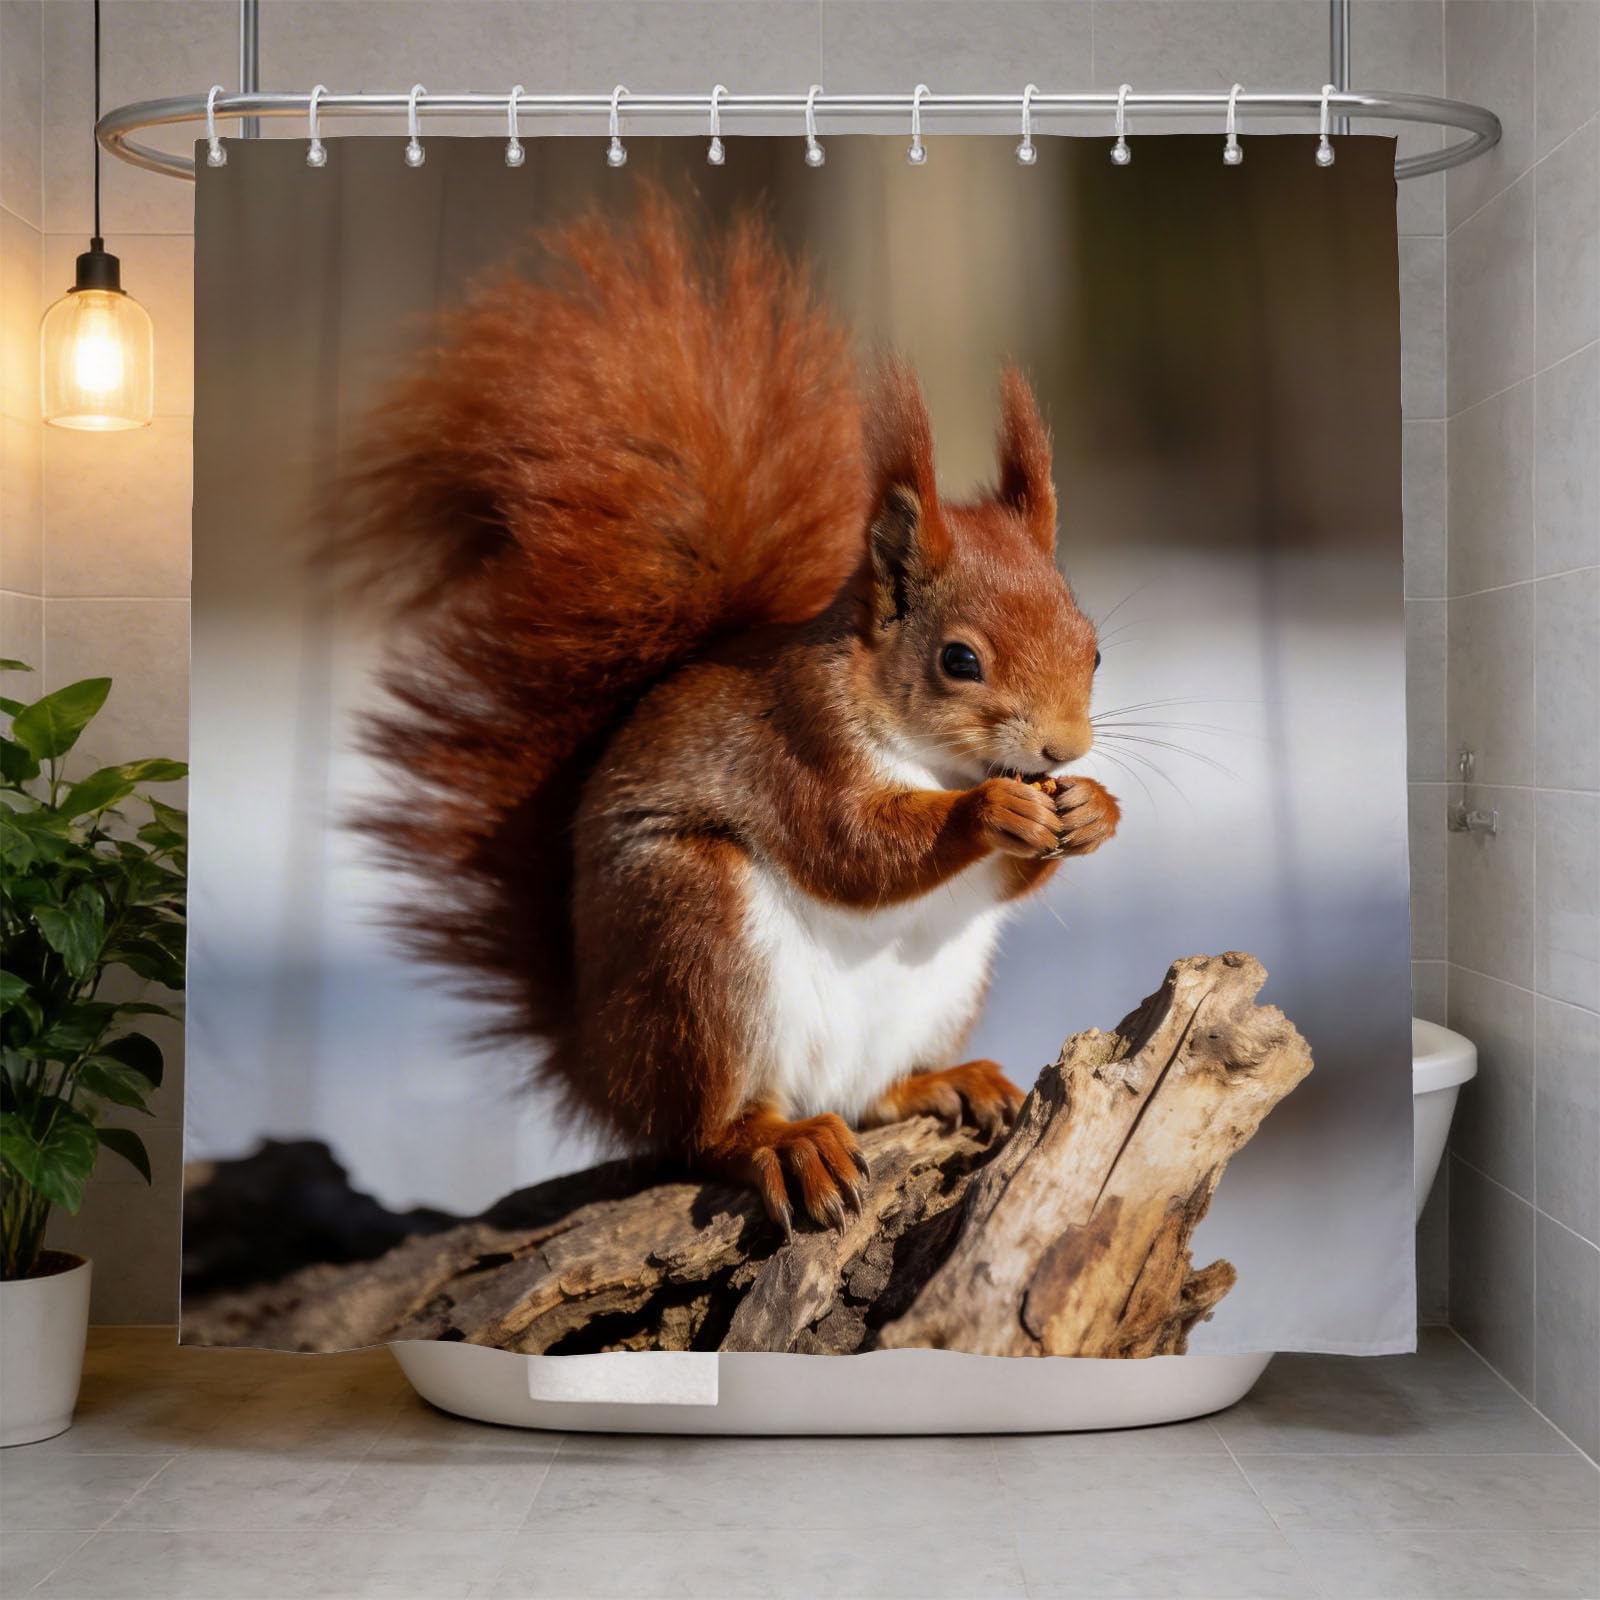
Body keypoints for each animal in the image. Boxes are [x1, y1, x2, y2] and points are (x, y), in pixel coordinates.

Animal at [342, 190, 1119, 1236]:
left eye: (1094, 648)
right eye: (960, 661)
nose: (1062, 748)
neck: (925, 748)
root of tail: (598, 1064)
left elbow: (1005, 879)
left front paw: (1094, 810)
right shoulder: (797, 742)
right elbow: (853, 847)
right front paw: (990, 811)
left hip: (937, 992)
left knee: (871, 1096)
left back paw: (942, 1083)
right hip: (695, 942)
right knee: (704, 1131)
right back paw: (779, 1142)